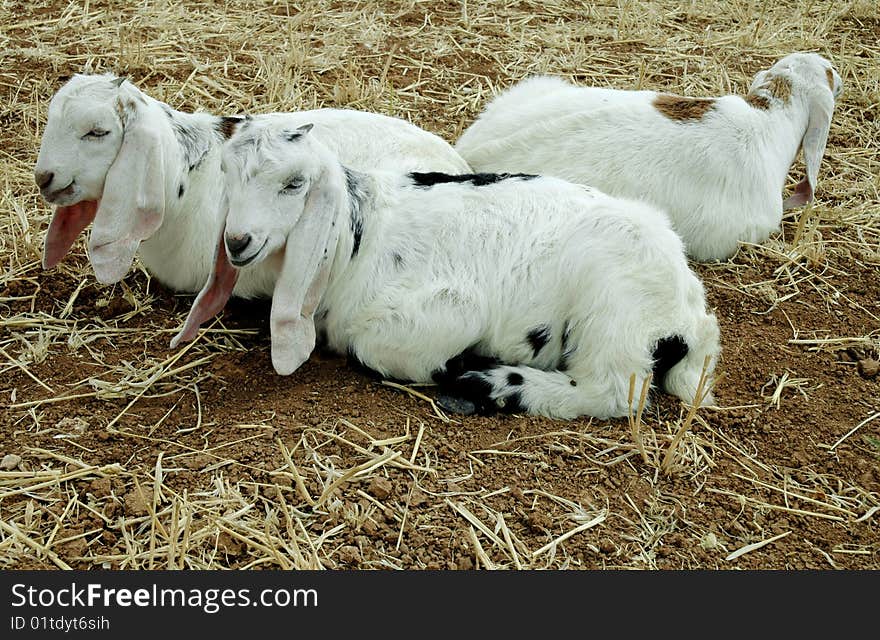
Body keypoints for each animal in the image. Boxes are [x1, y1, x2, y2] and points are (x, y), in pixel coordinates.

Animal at [172, 118, 720, 422]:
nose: (238, 242)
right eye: (227, 174)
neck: (358, 238)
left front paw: (455, 366)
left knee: (612, 392)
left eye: (295, 183)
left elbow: (376, 347)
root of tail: (691, 316)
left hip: (615, 308)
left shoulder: (448, 308)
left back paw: (490, 383)